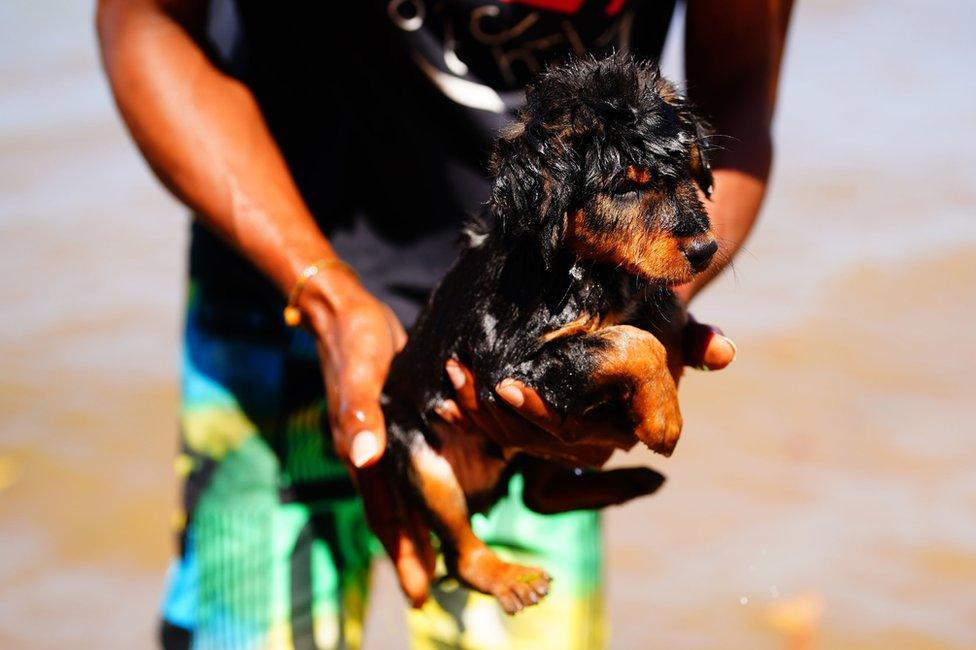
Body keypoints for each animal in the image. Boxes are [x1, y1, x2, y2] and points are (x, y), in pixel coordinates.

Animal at [382, 55, 716, 612]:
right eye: (626, 186)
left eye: (691, 172)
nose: (706, 250)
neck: (585, 266)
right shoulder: (506, 365)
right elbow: (631, 341)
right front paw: (662, 418)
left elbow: (661, 318)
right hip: (421, 460)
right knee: (461, 549)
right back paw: (510, 578)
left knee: (538, 496)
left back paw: (633, 482)